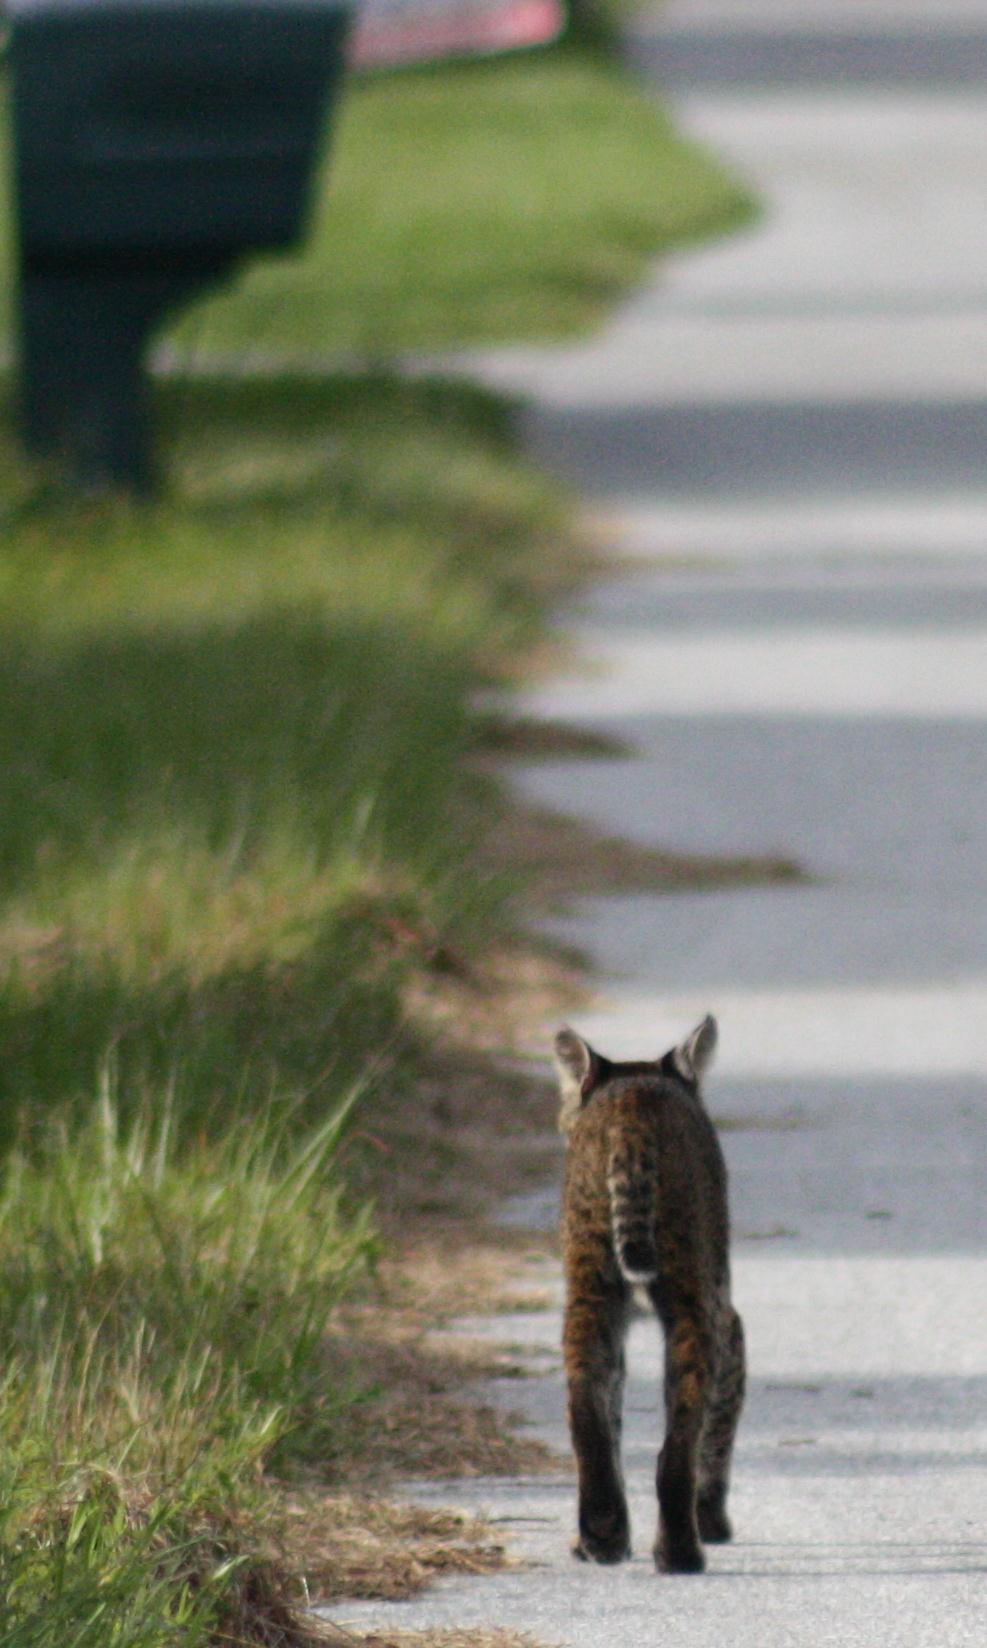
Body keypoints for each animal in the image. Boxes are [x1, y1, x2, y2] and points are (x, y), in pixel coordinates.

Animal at [554, 1014, 745, 1574]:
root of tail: (631, 1105)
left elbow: (612, 1409)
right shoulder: (727, 1313)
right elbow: (720, 1422)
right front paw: (713, 1519)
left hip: (589, 1285)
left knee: (586, 1406)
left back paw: (600, 1536)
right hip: (693, 1294)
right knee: (682, 1429)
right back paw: (681, 1549)